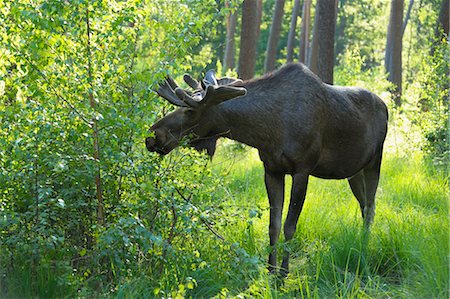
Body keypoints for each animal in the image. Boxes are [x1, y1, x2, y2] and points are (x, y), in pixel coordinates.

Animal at [145, 63, 386, 276]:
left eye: (189, 111)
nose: (153, 136)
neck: (267, 130)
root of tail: (385, 105)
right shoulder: (271, 170)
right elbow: (273, 225)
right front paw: (270, 270)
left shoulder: (302, 169)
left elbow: (290, 225)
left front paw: (283, 274)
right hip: (353, 172)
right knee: (364, 206)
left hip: (375, 162)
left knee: (371, 207)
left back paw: (364, 247)